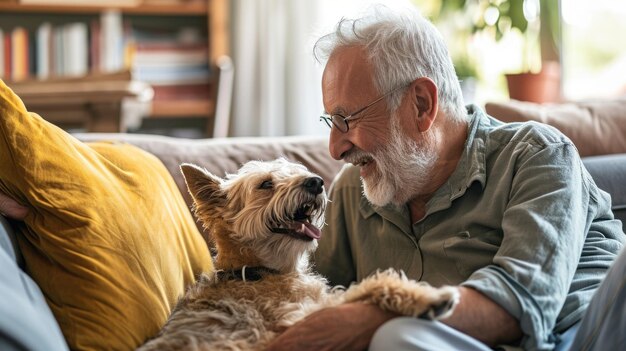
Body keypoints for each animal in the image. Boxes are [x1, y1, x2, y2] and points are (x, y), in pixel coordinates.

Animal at [136, 160, 458, 351]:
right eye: (266, 184)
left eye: (297, 170)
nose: (316, 181)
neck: (255, 271)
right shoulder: (299, 324)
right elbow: (370, 285)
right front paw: (430, 297)